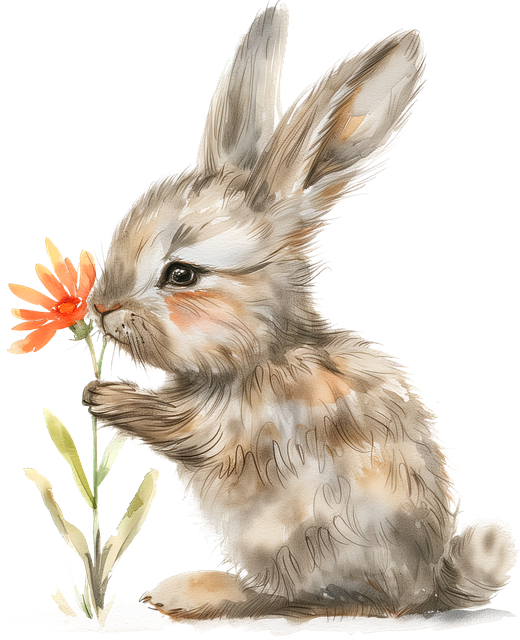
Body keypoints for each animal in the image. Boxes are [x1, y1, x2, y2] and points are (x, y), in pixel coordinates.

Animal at [81, 3, 517, 620]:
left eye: (182, 275)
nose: (100, 307)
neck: (263, 349)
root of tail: (423, 589)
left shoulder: (231, 422)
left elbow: (179, 426)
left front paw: (102, 398)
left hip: (303, 541)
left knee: (325, 600)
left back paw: (195, 592)